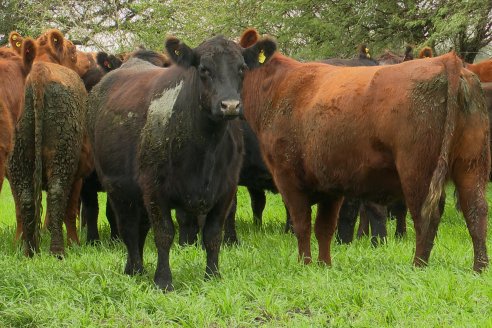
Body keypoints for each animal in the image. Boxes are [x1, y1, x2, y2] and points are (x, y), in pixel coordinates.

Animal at [8, 29, 91, 256]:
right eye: (73, 51)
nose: (89, 59)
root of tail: (39, 73)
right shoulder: (79, 171)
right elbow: (69, 211)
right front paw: (74, 243)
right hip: (64, 153)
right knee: (56, 194)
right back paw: (58, 250)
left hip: (18, 157)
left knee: (26, 199)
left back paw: (29, 251)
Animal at [88, 34, 276, 290]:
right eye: (204, 69)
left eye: (242, 68)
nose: (230, 105)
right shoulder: (155, 190)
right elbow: (164, 234)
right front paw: (163, 280)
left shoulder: (226, 189)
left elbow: (213, 235)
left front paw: (213, 275)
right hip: (118, 189)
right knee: (128, 229)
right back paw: (134, 269)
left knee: (140, 228)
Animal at [238, 29, 488, 272]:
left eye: (238, 66)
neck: (281, 89)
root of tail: (446, 61)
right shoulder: (329, 184)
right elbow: (324, 227)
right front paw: (324, 265)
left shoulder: (288, 177)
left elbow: (302, 224)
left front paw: (305, 264)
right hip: (470, 166)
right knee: (476, 210)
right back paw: (479, 267)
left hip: (418, 172)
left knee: (426, 216)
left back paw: (418, 265)